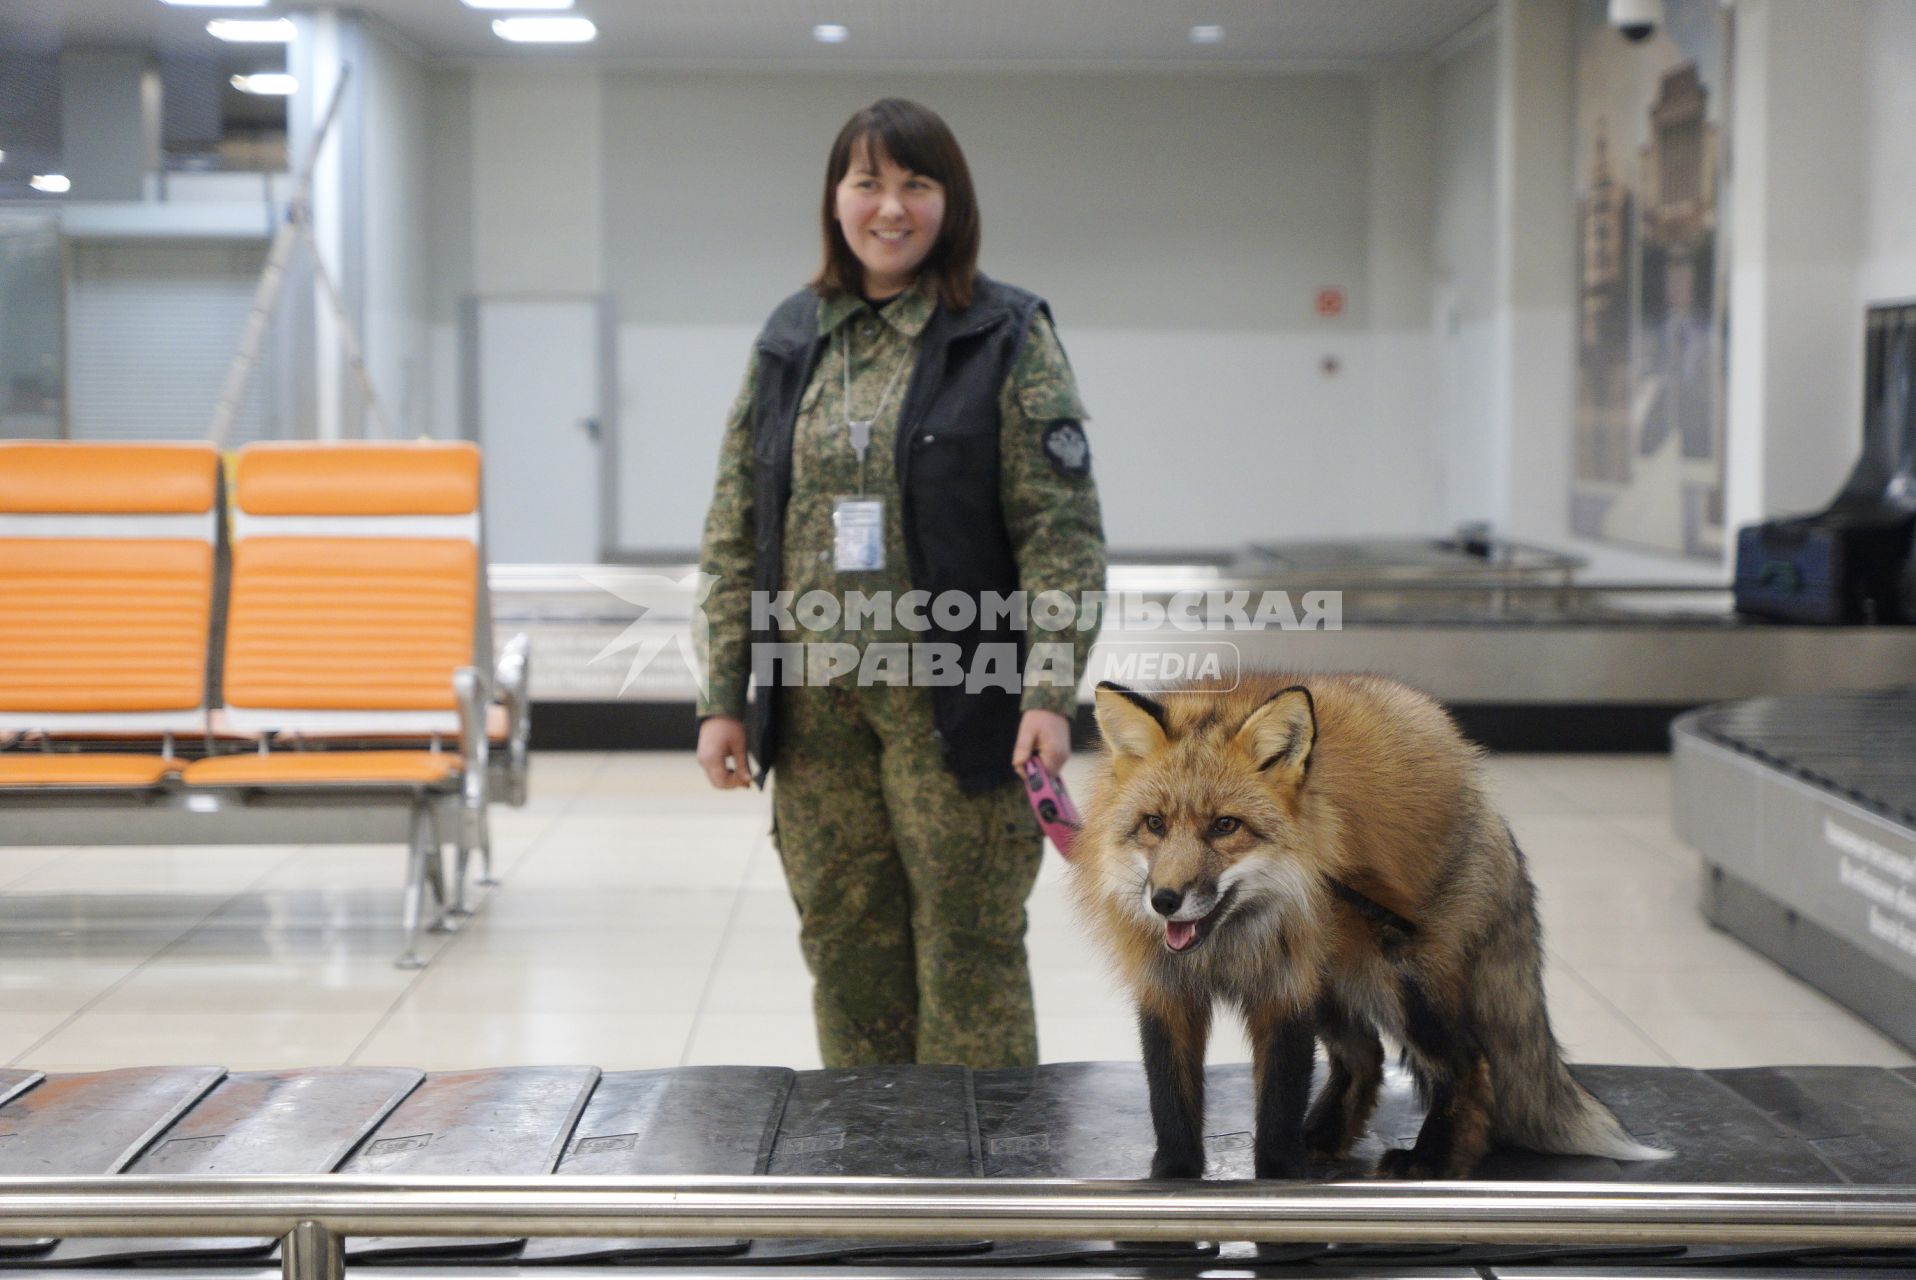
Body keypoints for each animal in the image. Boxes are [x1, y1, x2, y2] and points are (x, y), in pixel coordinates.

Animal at [1072, 674, 1670, 1188]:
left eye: (1225, 826)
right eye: (1154, 824)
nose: (1164, 901)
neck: (1225, 948)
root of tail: (1476, 783)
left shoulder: (1286, 988)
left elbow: (1278, 1103)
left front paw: (1278, 1182)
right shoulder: (1166, 992)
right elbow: (1170, 1104)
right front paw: (1172, 1184)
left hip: (1399, 976)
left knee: (1468, 1063)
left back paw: (1431, 1159)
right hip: (1335, 984)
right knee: (1365, 1058)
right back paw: (1324, 1137)